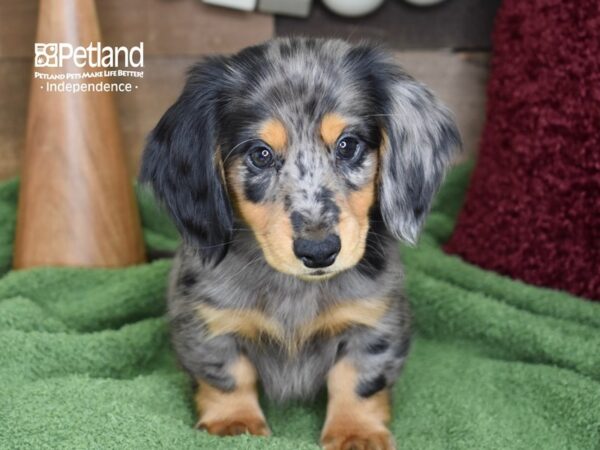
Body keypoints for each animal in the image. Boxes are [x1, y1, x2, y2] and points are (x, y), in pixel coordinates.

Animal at [141, 38, 460, 450]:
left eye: (348, 145)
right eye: (260, 153)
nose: (319, 252)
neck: (295, 289)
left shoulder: (374, 319)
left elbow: (357, 378)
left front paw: (356, 432)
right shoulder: (208, 321)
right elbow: (227, 373)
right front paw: (234, 423)